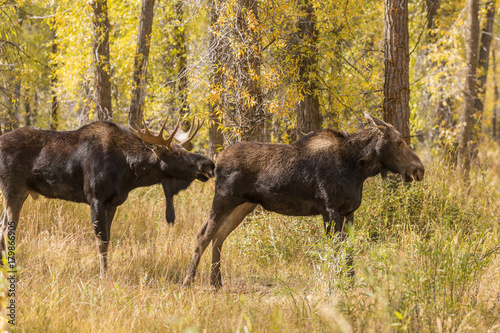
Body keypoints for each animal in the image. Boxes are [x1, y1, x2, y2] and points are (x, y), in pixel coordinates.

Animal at [0, 116, 214, 274]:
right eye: (176, 154)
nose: (208, 164)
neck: (129, 172)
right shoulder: (95, 198)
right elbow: (101, 239)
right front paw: (103, 274)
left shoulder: (113, 203)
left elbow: (109, 238)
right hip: (13, 188)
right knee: (9, 228)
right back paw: (12, 265)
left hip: (20, 192)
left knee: (3, 224)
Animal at [184, 112, 426, 288]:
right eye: (398, 142)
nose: (419, 169)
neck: (359, 169)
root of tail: (216, 162)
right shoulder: (329, 208)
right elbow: (335, 248)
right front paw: (336, 281)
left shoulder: (349, 211)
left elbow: (348, 249)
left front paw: (350, 281)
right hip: (224, 199)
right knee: (203, 236)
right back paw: (188, 282)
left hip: (243, 205)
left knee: (218, 237)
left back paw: (216, 283)